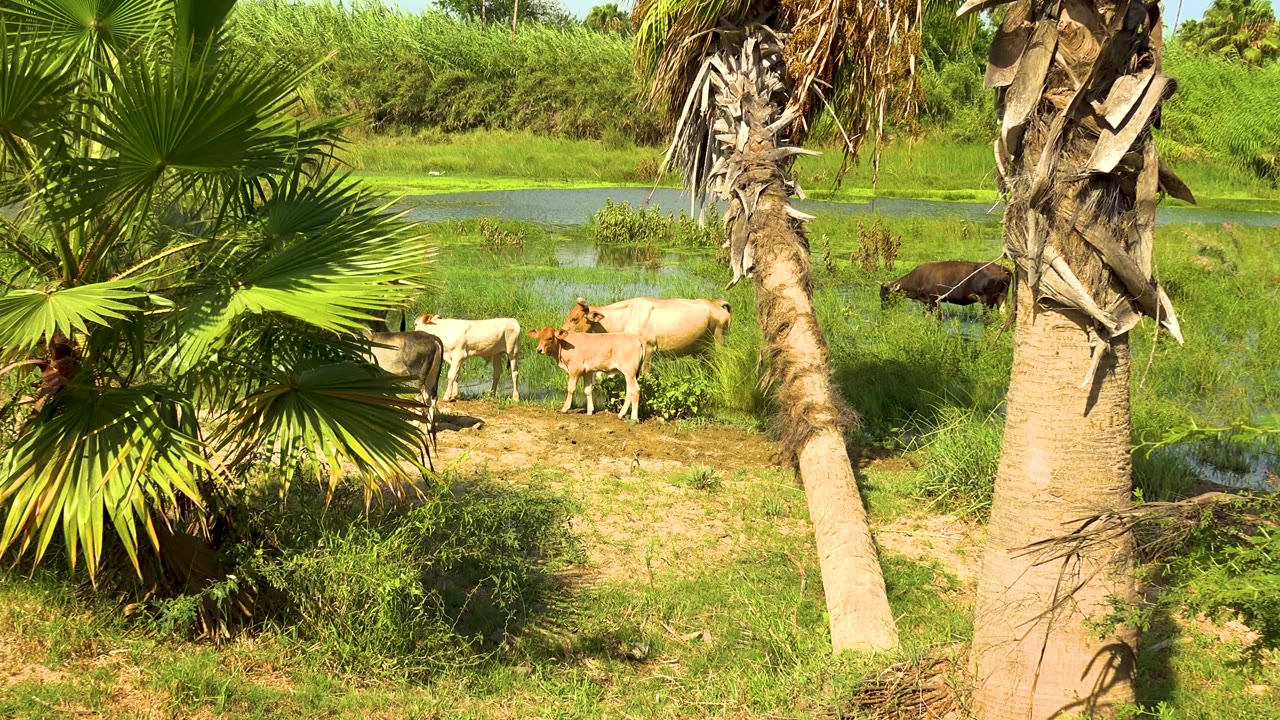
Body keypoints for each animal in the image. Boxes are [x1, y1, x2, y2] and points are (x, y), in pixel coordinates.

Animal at [361, 329, 445, 468]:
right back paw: (428, 427)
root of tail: (432, 337)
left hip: (418, 375)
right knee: (433, 397)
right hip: (432, 375)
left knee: (423, 397)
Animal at [560, 297, 730, 373]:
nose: (561, 333)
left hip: (719, 342)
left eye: (574, 318)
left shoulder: (649, 349)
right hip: (701, 350)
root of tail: (716, 303)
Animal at [880, 261, 1012, 314]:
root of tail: (1003, 268)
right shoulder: (925, 303)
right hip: (1001, 298)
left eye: (886, 296)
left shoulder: (934, 301)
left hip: (987, 301)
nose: (883, 310)